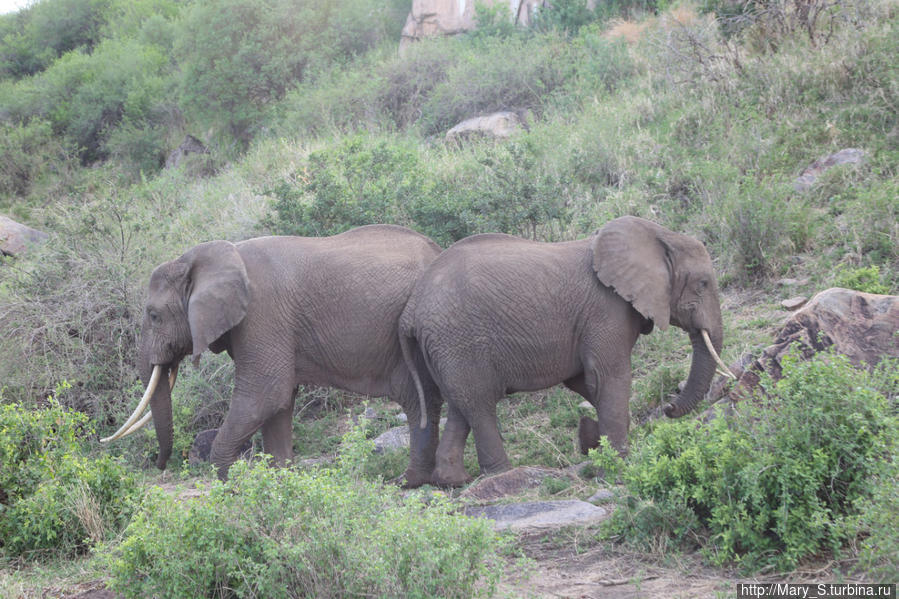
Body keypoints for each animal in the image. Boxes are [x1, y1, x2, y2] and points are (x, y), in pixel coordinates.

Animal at [102, 225, 442, 488]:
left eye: (154, 316)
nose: (159, 466)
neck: (214, 257)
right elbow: (279, 403)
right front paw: (280, 484)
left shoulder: (261, 315)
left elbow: (265, 395)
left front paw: (233, 489)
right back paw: (410, 479)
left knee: (418, 398)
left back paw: (406, 481)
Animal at [400, 216, 732, 488]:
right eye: (703, 283)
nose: (669, 408)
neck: (659, 235)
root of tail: (412, 307)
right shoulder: (606, 309)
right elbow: (608, 376)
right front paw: (616, 467)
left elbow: (584, 381)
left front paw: (597, 442)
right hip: (459, 340)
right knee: (480, 402)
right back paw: (502, 474)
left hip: (447, 346)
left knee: (461, 404)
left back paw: (453, 481)